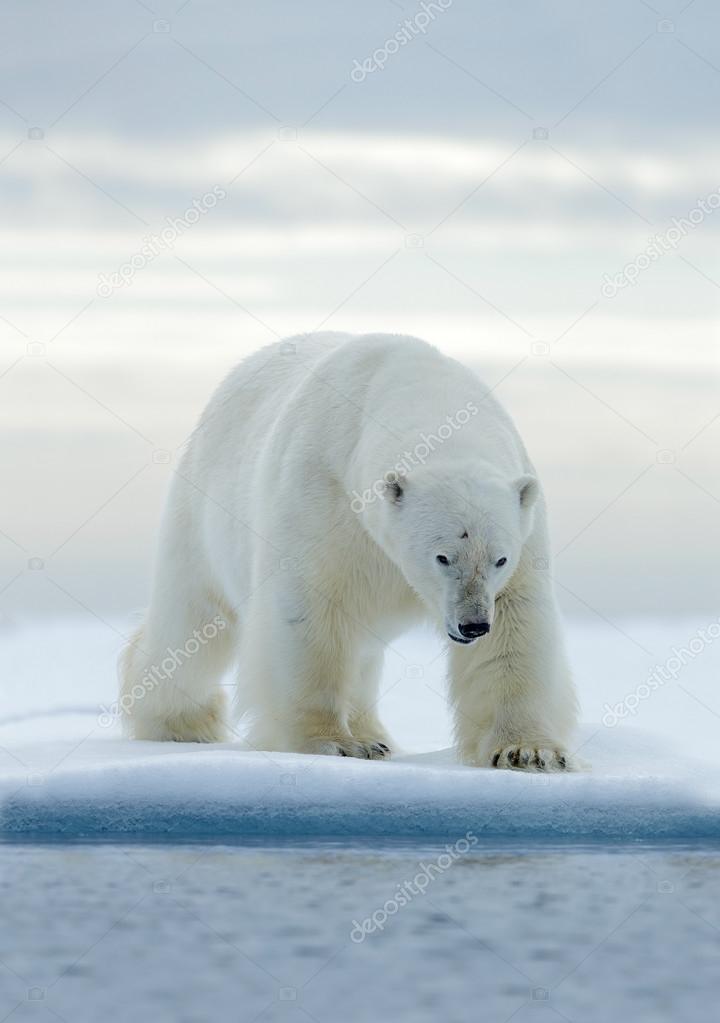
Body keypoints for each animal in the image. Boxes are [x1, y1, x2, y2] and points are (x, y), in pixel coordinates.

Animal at [119, 331, 580, 769]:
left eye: (500, 559)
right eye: (442, 556)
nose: (473, 625)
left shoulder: (523, 528)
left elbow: (515, 626)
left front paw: (528, 751)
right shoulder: (322, 491)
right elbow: (307, 610)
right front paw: (332, 742)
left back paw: (374, 735)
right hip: (201, 515)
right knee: (192, 622)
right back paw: (179, 721)